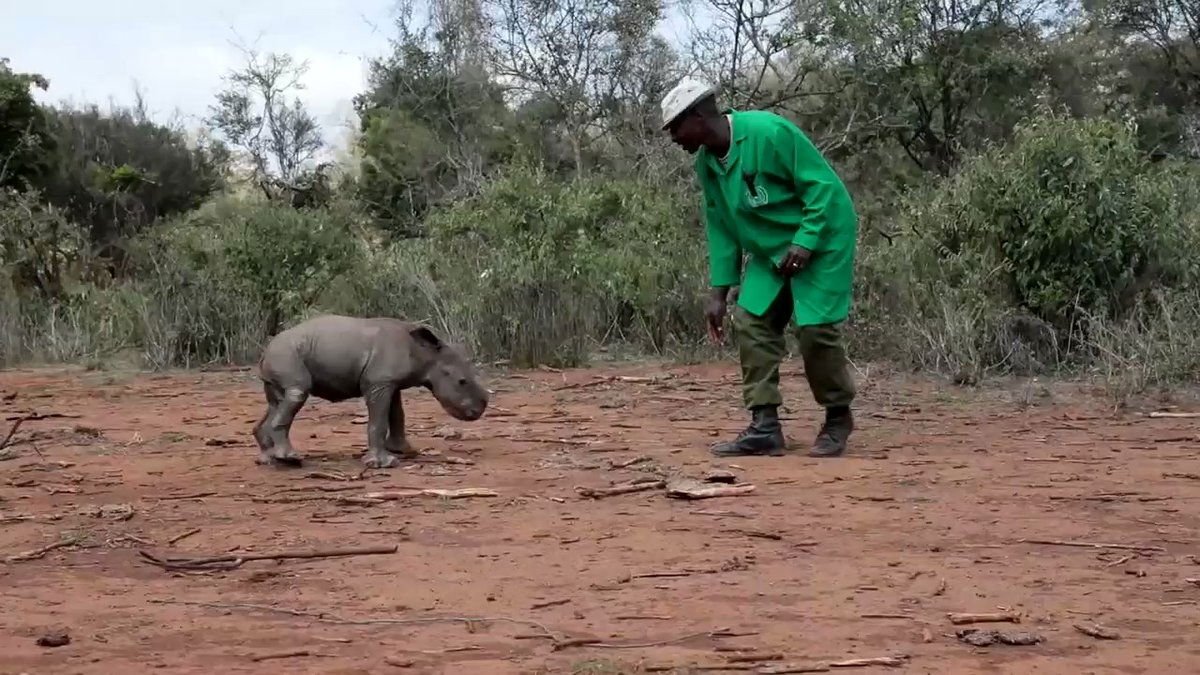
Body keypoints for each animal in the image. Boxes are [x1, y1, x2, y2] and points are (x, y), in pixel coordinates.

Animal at [253, 314, 487, 468]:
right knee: (297, 392)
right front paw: (384, 463)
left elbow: (397, 415)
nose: (480, 410)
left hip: (282, 357)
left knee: (276, 401)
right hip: (286, 355)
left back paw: (268, 459)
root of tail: (265, 351)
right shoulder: (378, 383)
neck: (426, 354)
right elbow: (380, 420)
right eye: (462, 381)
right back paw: (290, 459)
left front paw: (405, 451)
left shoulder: (390, 383)